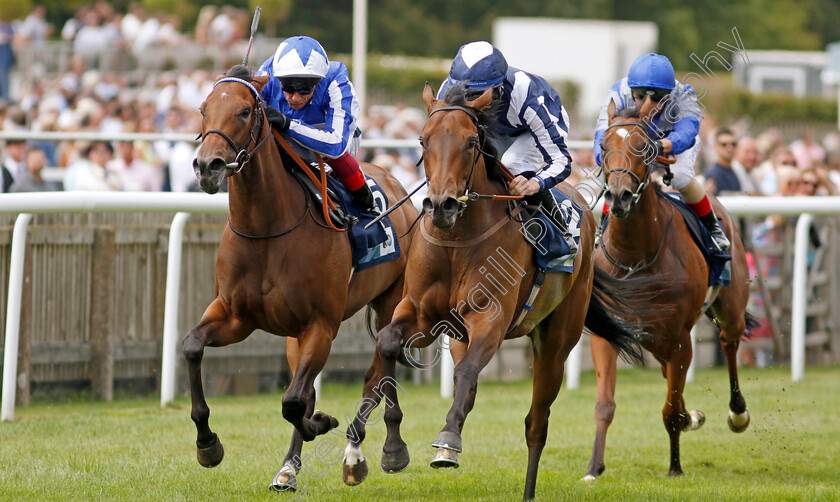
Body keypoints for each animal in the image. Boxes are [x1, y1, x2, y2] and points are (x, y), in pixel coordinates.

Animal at [187, 64, 416, 488]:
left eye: (246, 111)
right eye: (203, 109)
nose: (208, 167)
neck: (268, 228)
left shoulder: (321, 324)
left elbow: (293, 401)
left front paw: (322, 424)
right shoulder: (235, 316)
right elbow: (193, 346)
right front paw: (208, 444)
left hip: (392, 303)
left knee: (378, 372)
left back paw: (372, 451)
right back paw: (292, 467)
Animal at [338, 84, 660, 500]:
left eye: (472, 142)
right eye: (423, 140)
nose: (441, 205)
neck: (457, 240)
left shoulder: (490, 317)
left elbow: (469, 371)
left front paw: (446, 438)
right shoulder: (421, 313)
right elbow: (391, 345)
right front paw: (393, 449)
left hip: (557, 340)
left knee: (536, 422)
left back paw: (526, 487)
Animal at [584, 97, 756, 478]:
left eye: (645, 147)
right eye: (604, 147)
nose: (618, 197)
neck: (636, 256)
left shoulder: (680, 338)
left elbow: (670, 410)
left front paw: (675, 467)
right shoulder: (607, 333)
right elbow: (603, 403)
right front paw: (593, 467)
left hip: (729, 309)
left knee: (729, 343)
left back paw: (737, 413)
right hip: (655, 338)